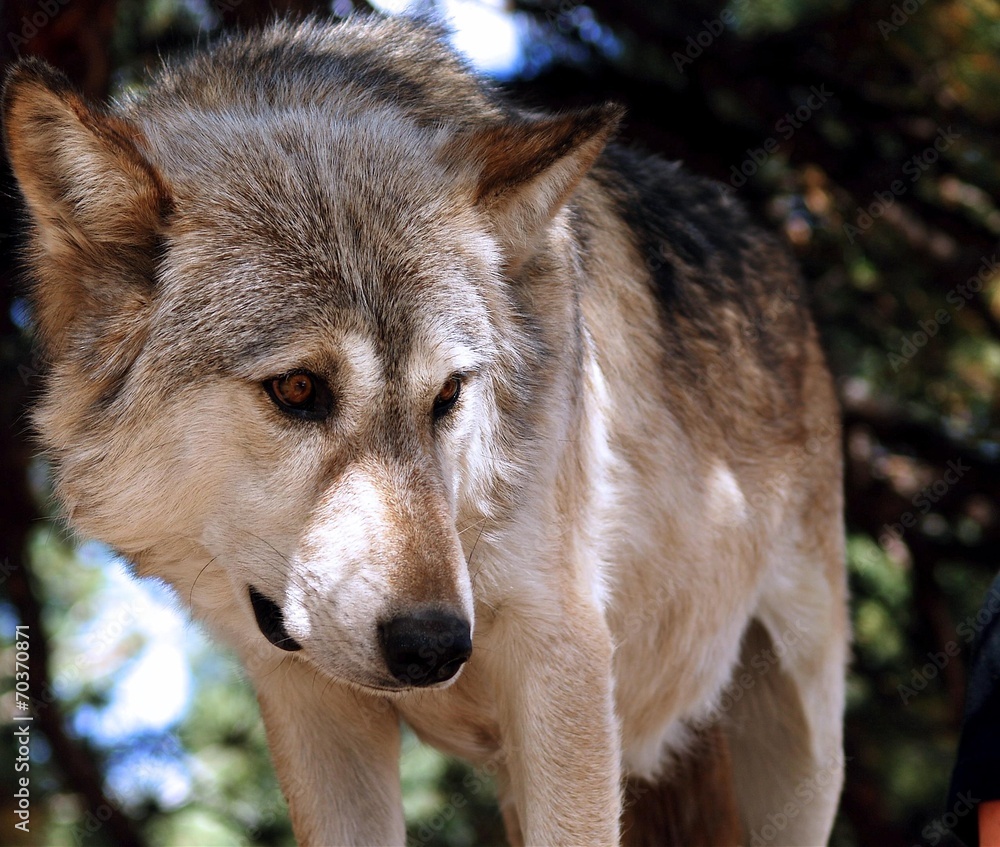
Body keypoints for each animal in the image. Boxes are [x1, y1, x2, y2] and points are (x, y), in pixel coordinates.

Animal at [3, 14, 848, 846]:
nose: (434, 644)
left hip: (801, 756)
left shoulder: (564, 655)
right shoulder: (311, 700)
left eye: (449, 393)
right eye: (298, 388)